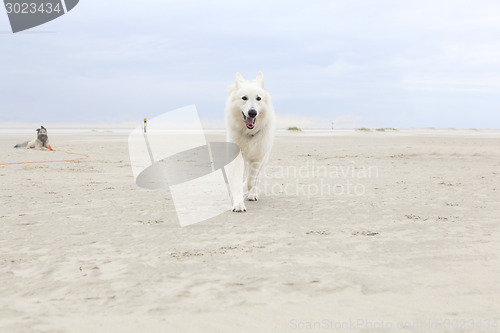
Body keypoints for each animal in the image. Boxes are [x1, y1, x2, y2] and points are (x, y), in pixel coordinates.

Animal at [227, 71, 278, 211]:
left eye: (258, 98)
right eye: (244, 98)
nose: (252, 112)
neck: (248, 133)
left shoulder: (258, 158)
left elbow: (251, 179)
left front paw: (248, 190)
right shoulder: (237, 157)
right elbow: (237, 180)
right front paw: (238, 203)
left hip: (263, 158)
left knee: (256, 178)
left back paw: (252, 194)